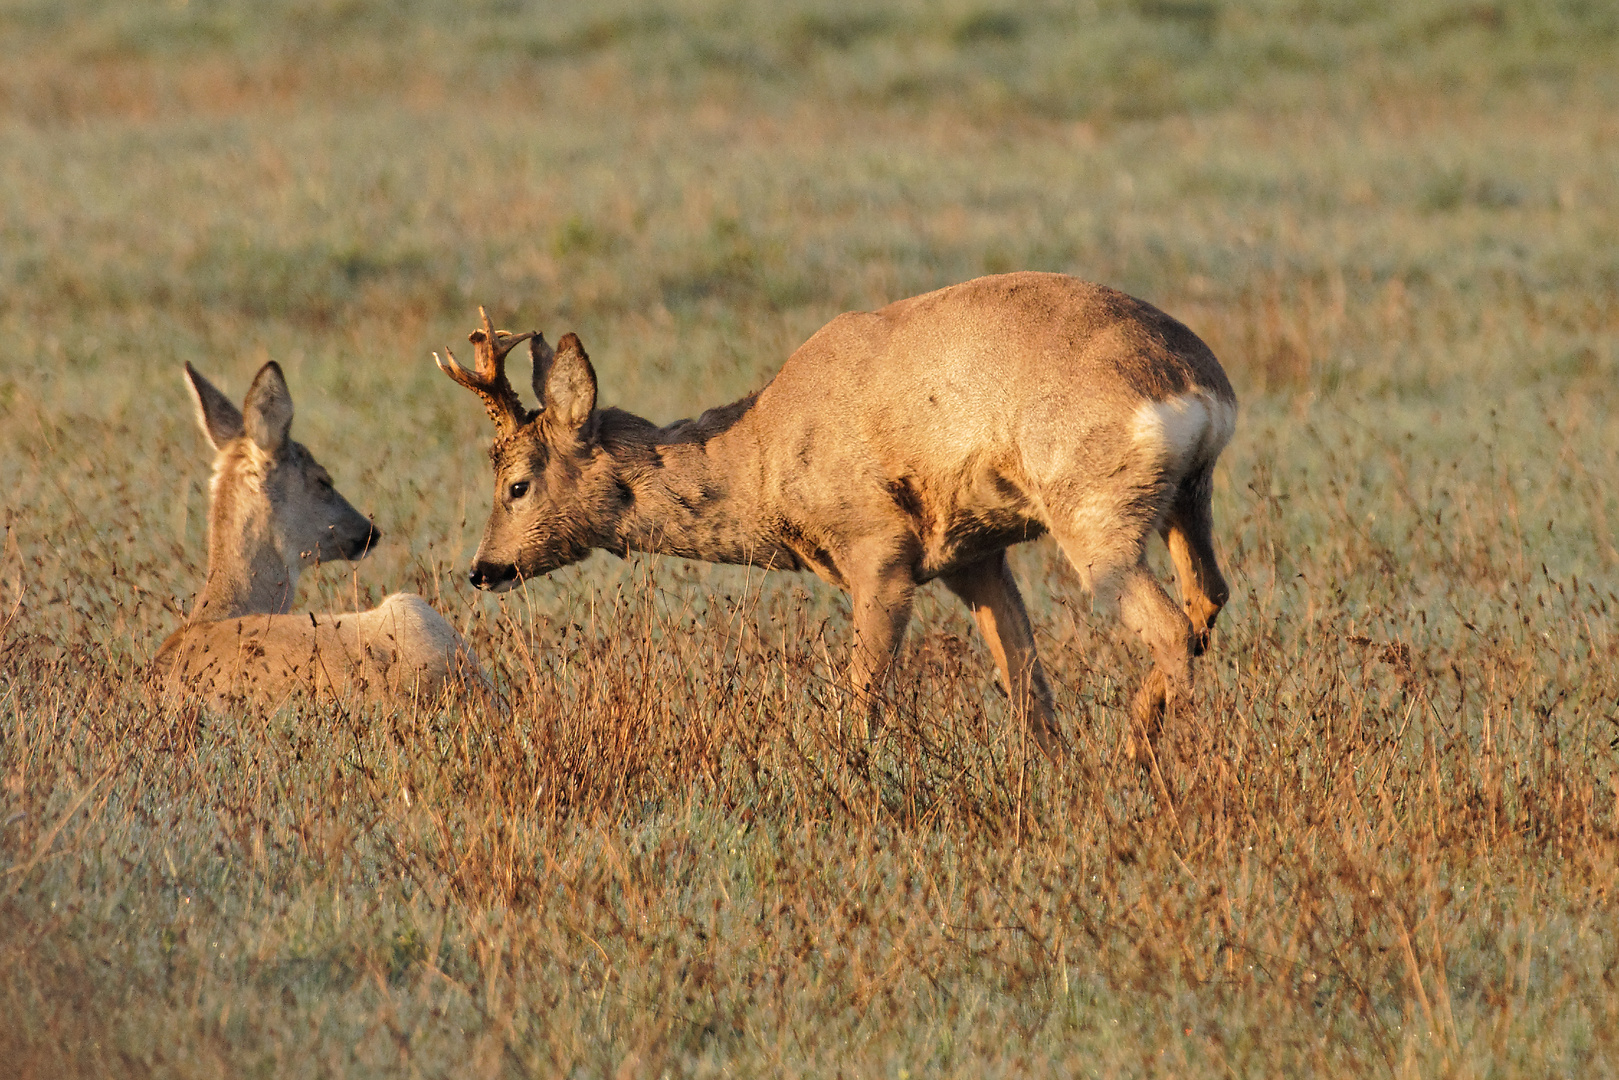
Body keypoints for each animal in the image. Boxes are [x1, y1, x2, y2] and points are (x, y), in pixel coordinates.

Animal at [437, 275, 1230, 757]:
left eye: (516, 484)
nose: (482, 569)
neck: (761, 460)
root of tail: (1198, 387)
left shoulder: (878, 549)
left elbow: (863, 693)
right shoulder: (973, 555)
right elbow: (1026, 683)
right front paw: (1053, 772)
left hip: (1093, 508)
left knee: (1168, 625)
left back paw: (1149, 759)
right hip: (1188, 499)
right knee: (1205, 603)